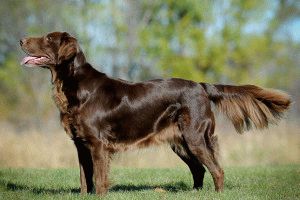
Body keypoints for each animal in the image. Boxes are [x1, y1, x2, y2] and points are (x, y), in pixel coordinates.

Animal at [19, 32, 290, 195]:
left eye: (47, 38)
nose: (21, 40)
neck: (73, 86)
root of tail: (202, 85)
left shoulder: (97, 144)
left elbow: (99, 179)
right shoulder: (80, 144)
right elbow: (85, 180)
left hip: (195, 136)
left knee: (217, 169)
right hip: (180, 142)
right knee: (200, 169)